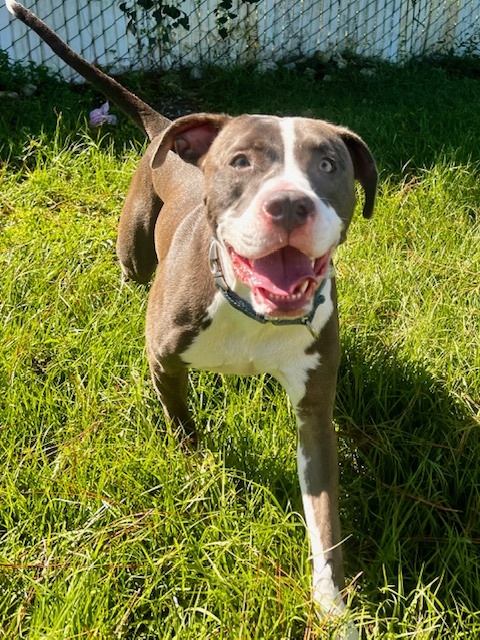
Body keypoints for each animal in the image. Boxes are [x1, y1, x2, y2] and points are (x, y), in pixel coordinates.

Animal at [5, 3, 376, 636]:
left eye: (329, 165)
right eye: (240, 161)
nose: (289, 204)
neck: (249, 308)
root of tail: (167, 127)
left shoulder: (313, 415)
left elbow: (324, 523)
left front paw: (334, 610)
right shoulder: (165, 359)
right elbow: (181, 421)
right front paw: (196, 461)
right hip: (133, 240)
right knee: (130, 268)